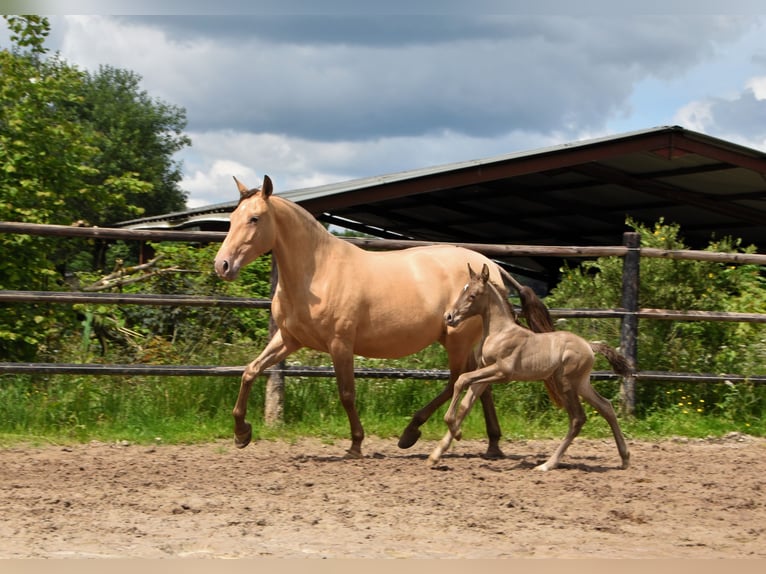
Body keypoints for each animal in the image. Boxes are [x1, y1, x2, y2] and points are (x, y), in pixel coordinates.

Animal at [216, 176, 552, 460]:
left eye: (254, 219)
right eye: (231, 219)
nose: (222, 265)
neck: (317, 273)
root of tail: (491, 266)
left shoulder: (340, 344)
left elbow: (347, 393)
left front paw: (355, 444)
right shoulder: (289, 339)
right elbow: (250, 371)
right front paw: (241, 434)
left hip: (457, 340)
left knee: (457, 381)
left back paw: (412, 432)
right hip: (461, 341)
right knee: (478, 383)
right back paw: (492, 445)